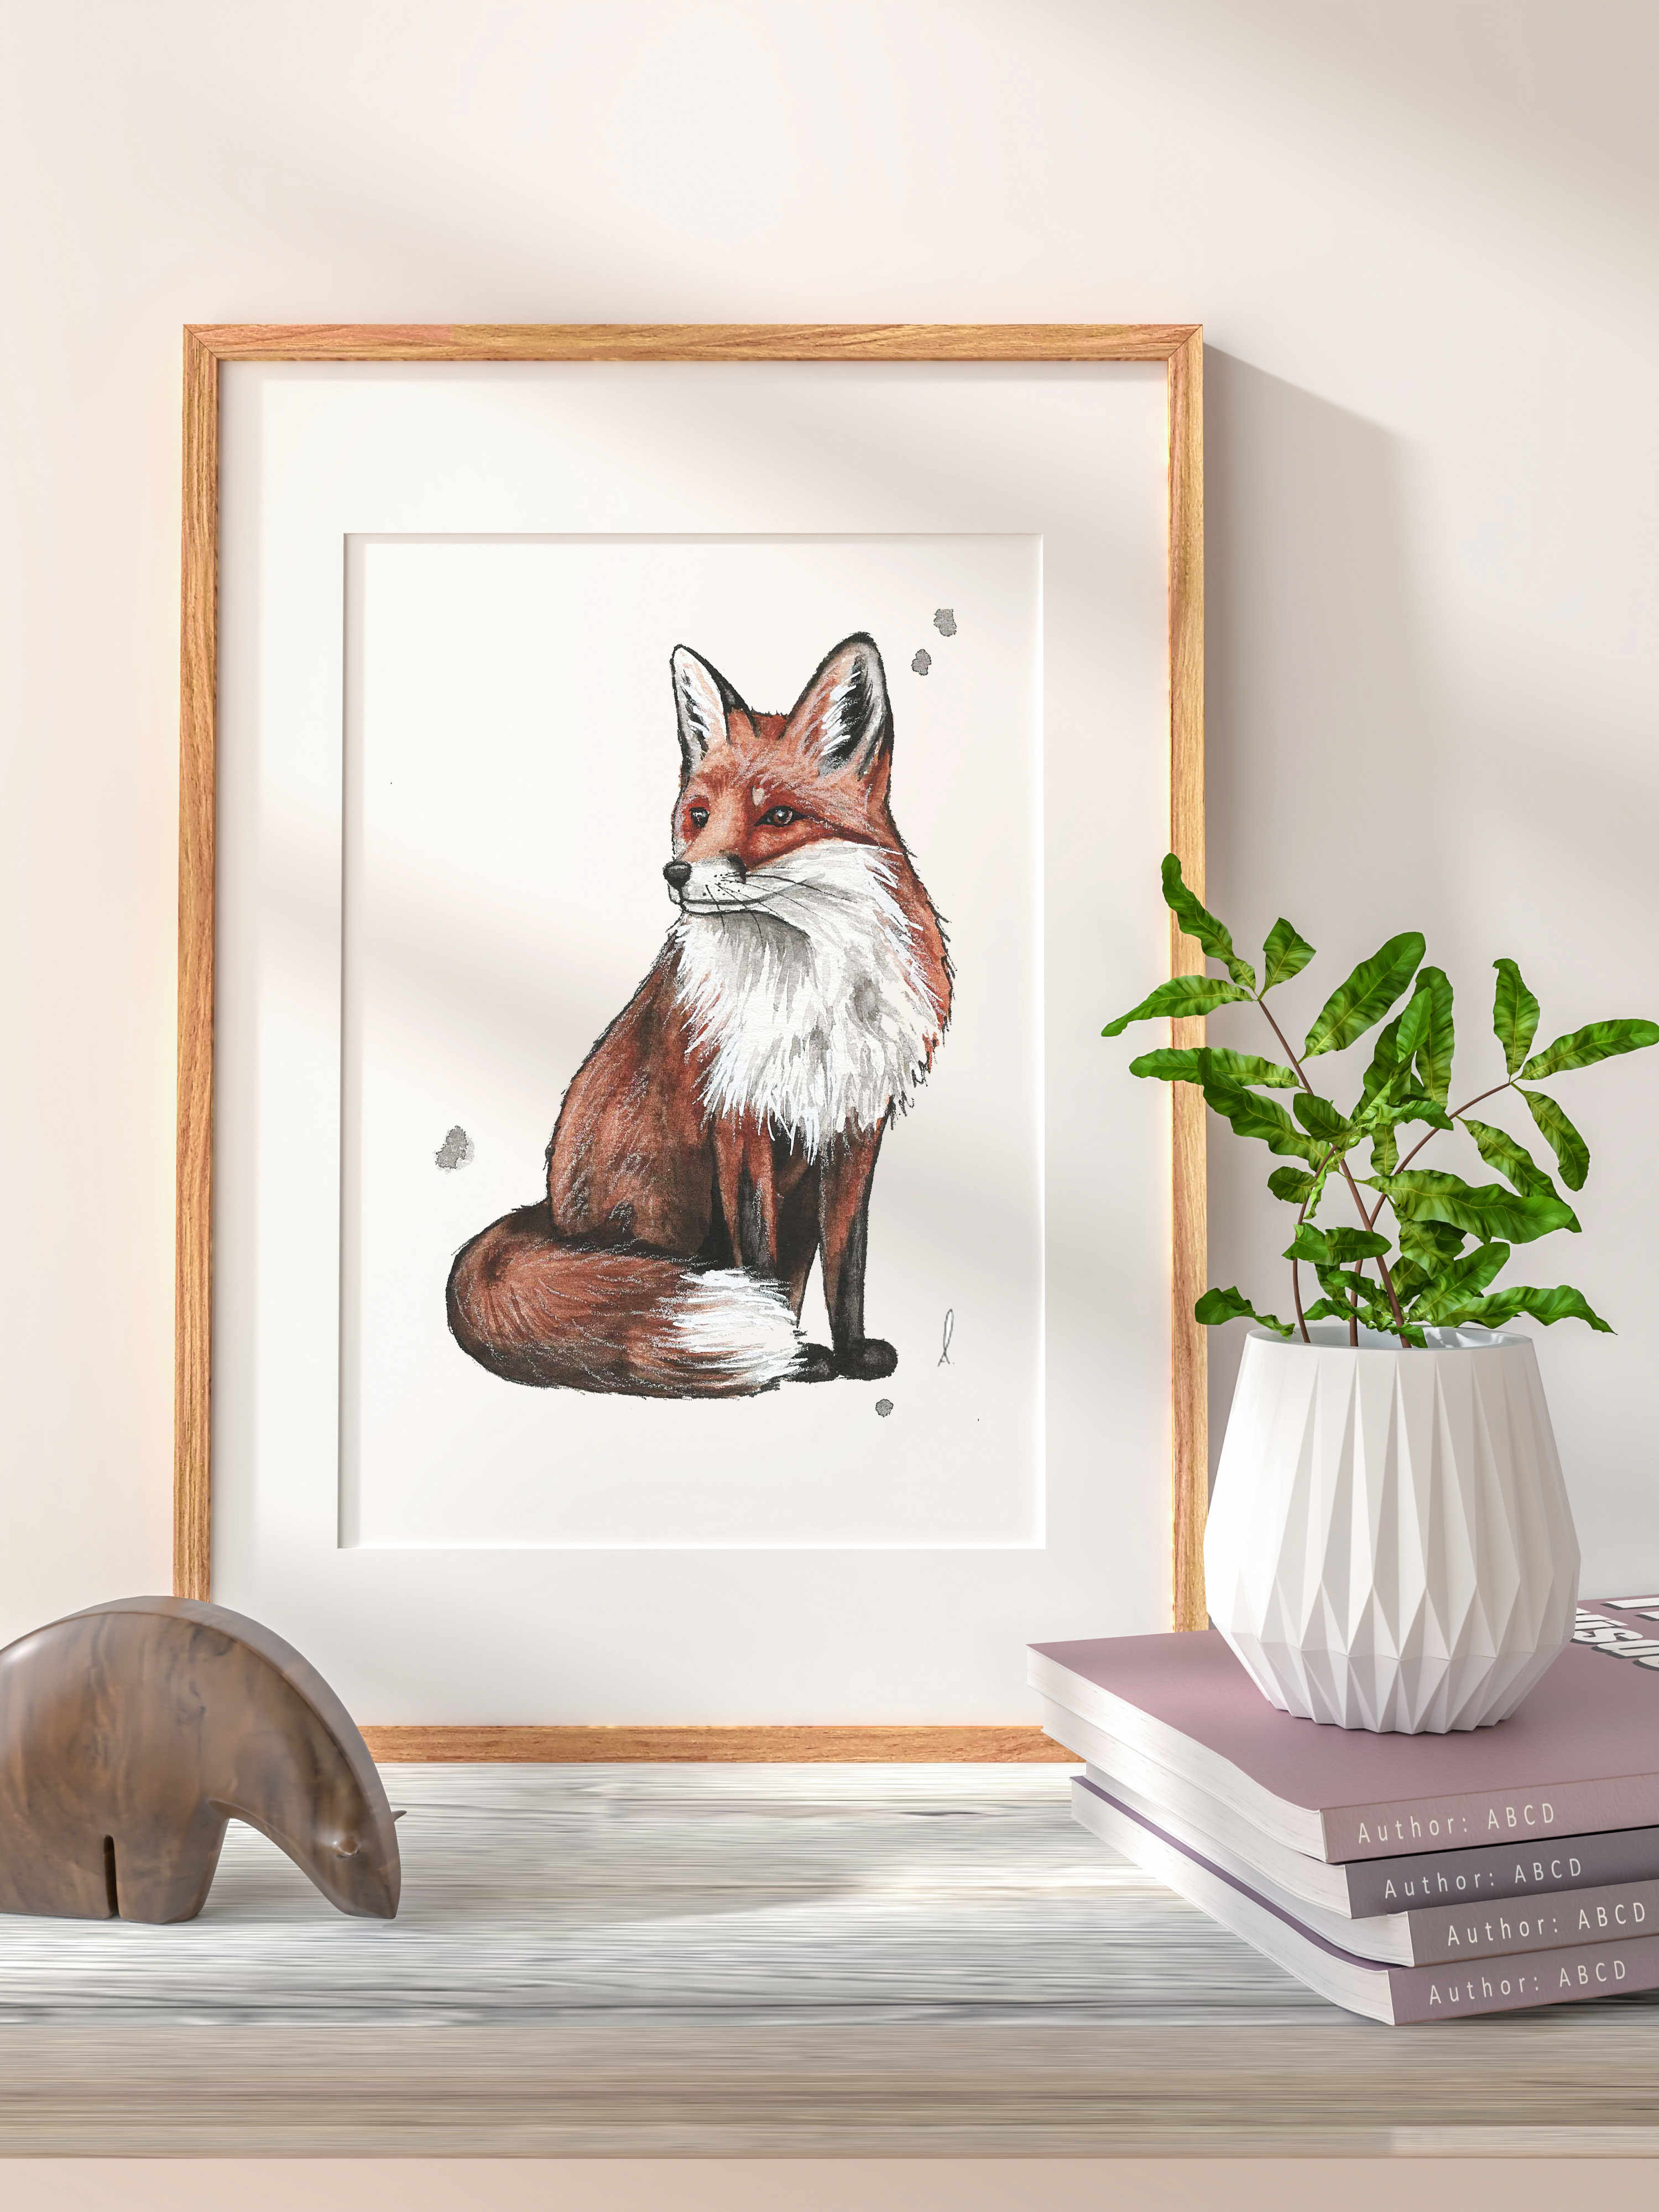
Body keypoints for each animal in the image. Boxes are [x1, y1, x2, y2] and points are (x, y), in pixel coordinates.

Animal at [446, 631, 952, 1398]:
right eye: (699, 815)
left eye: (779, 816)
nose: (677, 873)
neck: (808, 980)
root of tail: (551, 1217)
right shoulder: (740, 1119)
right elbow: (758, 1251)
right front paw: (797, 1360)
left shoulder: (854, 1127)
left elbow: (850, 1261)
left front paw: (850, 1352)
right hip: (658, 1199)